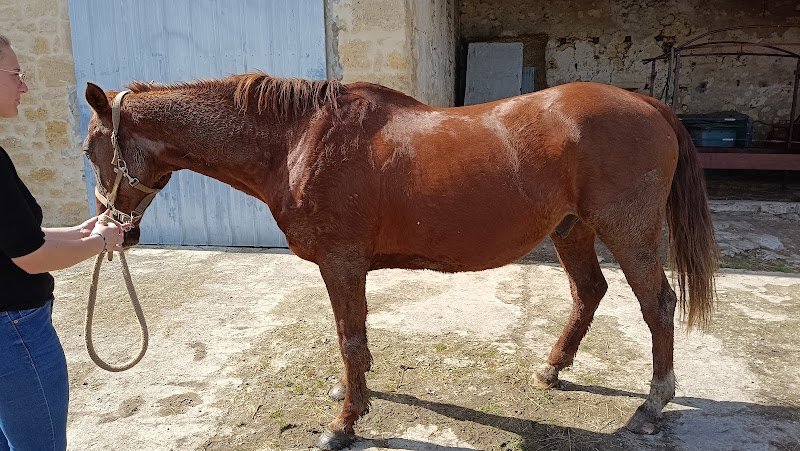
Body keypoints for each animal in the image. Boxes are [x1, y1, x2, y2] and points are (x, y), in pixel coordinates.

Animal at [81, 73, 717, 450]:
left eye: (90, 147)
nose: (117, 228)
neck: (298, 140)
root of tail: (648, 104)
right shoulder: (347, 266)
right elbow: (355, 338)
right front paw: (354, 397)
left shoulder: (340, 262)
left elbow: (348, 338)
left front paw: (343, 426)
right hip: (571, 230)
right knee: (588, 292)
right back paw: (552, 369)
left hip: (627, 231)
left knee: (657, 304)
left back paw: (651, 405)